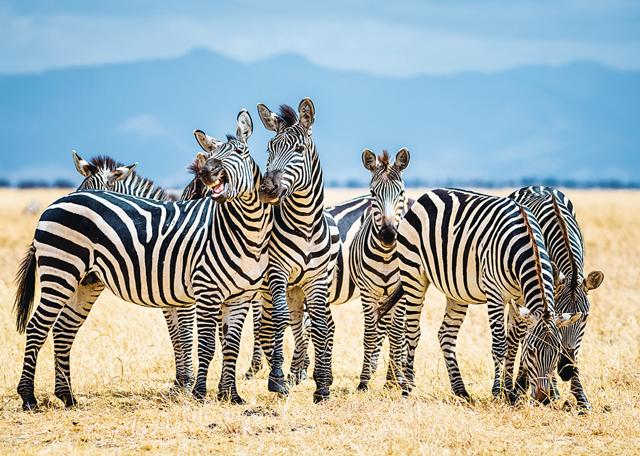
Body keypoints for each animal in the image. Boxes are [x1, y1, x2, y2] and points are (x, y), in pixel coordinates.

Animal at [72, 149, 199, 392]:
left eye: (100, 194)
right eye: (79, 191)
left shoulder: (186, 299)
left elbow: (186, 335)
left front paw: (187, 383)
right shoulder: (168, 302)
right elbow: (175, 337)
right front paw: (178, 383)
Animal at [256, 98, 340, 403]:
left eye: (299, 150)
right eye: (269, 148)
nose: (267, 190)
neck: (305, 224)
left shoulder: (316, 279)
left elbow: (320, 325)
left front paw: (323, 385)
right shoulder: (277, 272)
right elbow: (279, 321)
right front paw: (277, 379)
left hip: (302, 287)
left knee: (308, 324)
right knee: (280, 323)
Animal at [376, 188, 582, 402]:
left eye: (557, 353)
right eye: (531, 352)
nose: (543, 398)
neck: (526, 243)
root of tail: (428, 194)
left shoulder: (520, 299)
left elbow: (512, 343)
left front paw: (510, 393)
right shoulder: (495, 294)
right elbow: (500, 345)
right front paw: (497, 392)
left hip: (456, 290)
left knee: (446, 334)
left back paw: (460, 390)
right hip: (413, 274)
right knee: (412, 331)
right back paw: (407, 387)